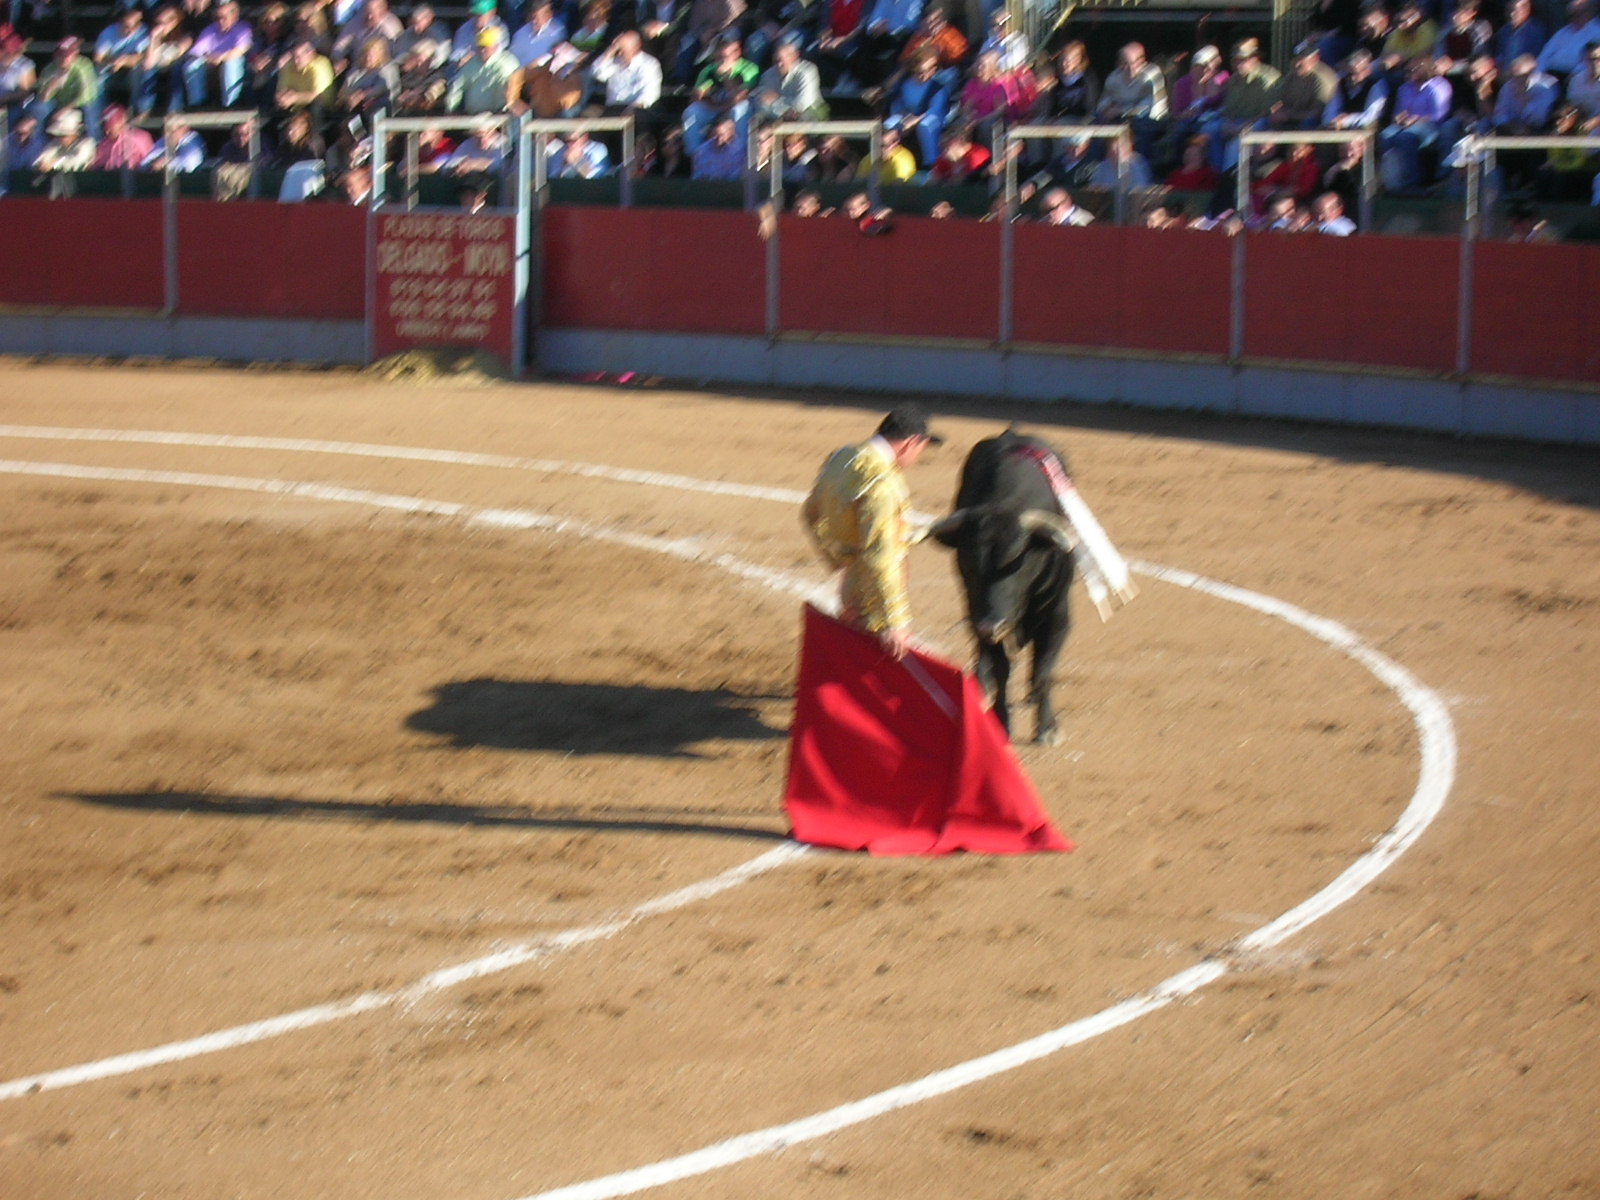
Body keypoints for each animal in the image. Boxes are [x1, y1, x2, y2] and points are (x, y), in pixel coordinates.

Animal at [928, 428, 1075, 748]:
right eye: (968, 564)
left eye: (1017, 562)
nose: (992, 625)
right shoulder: (976, 609)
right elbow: (1002, 668)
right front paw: (1000, 723)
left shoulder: (1057, 614)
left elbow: (1044, 669)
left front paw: (1047, 728)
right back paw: (982, 685)